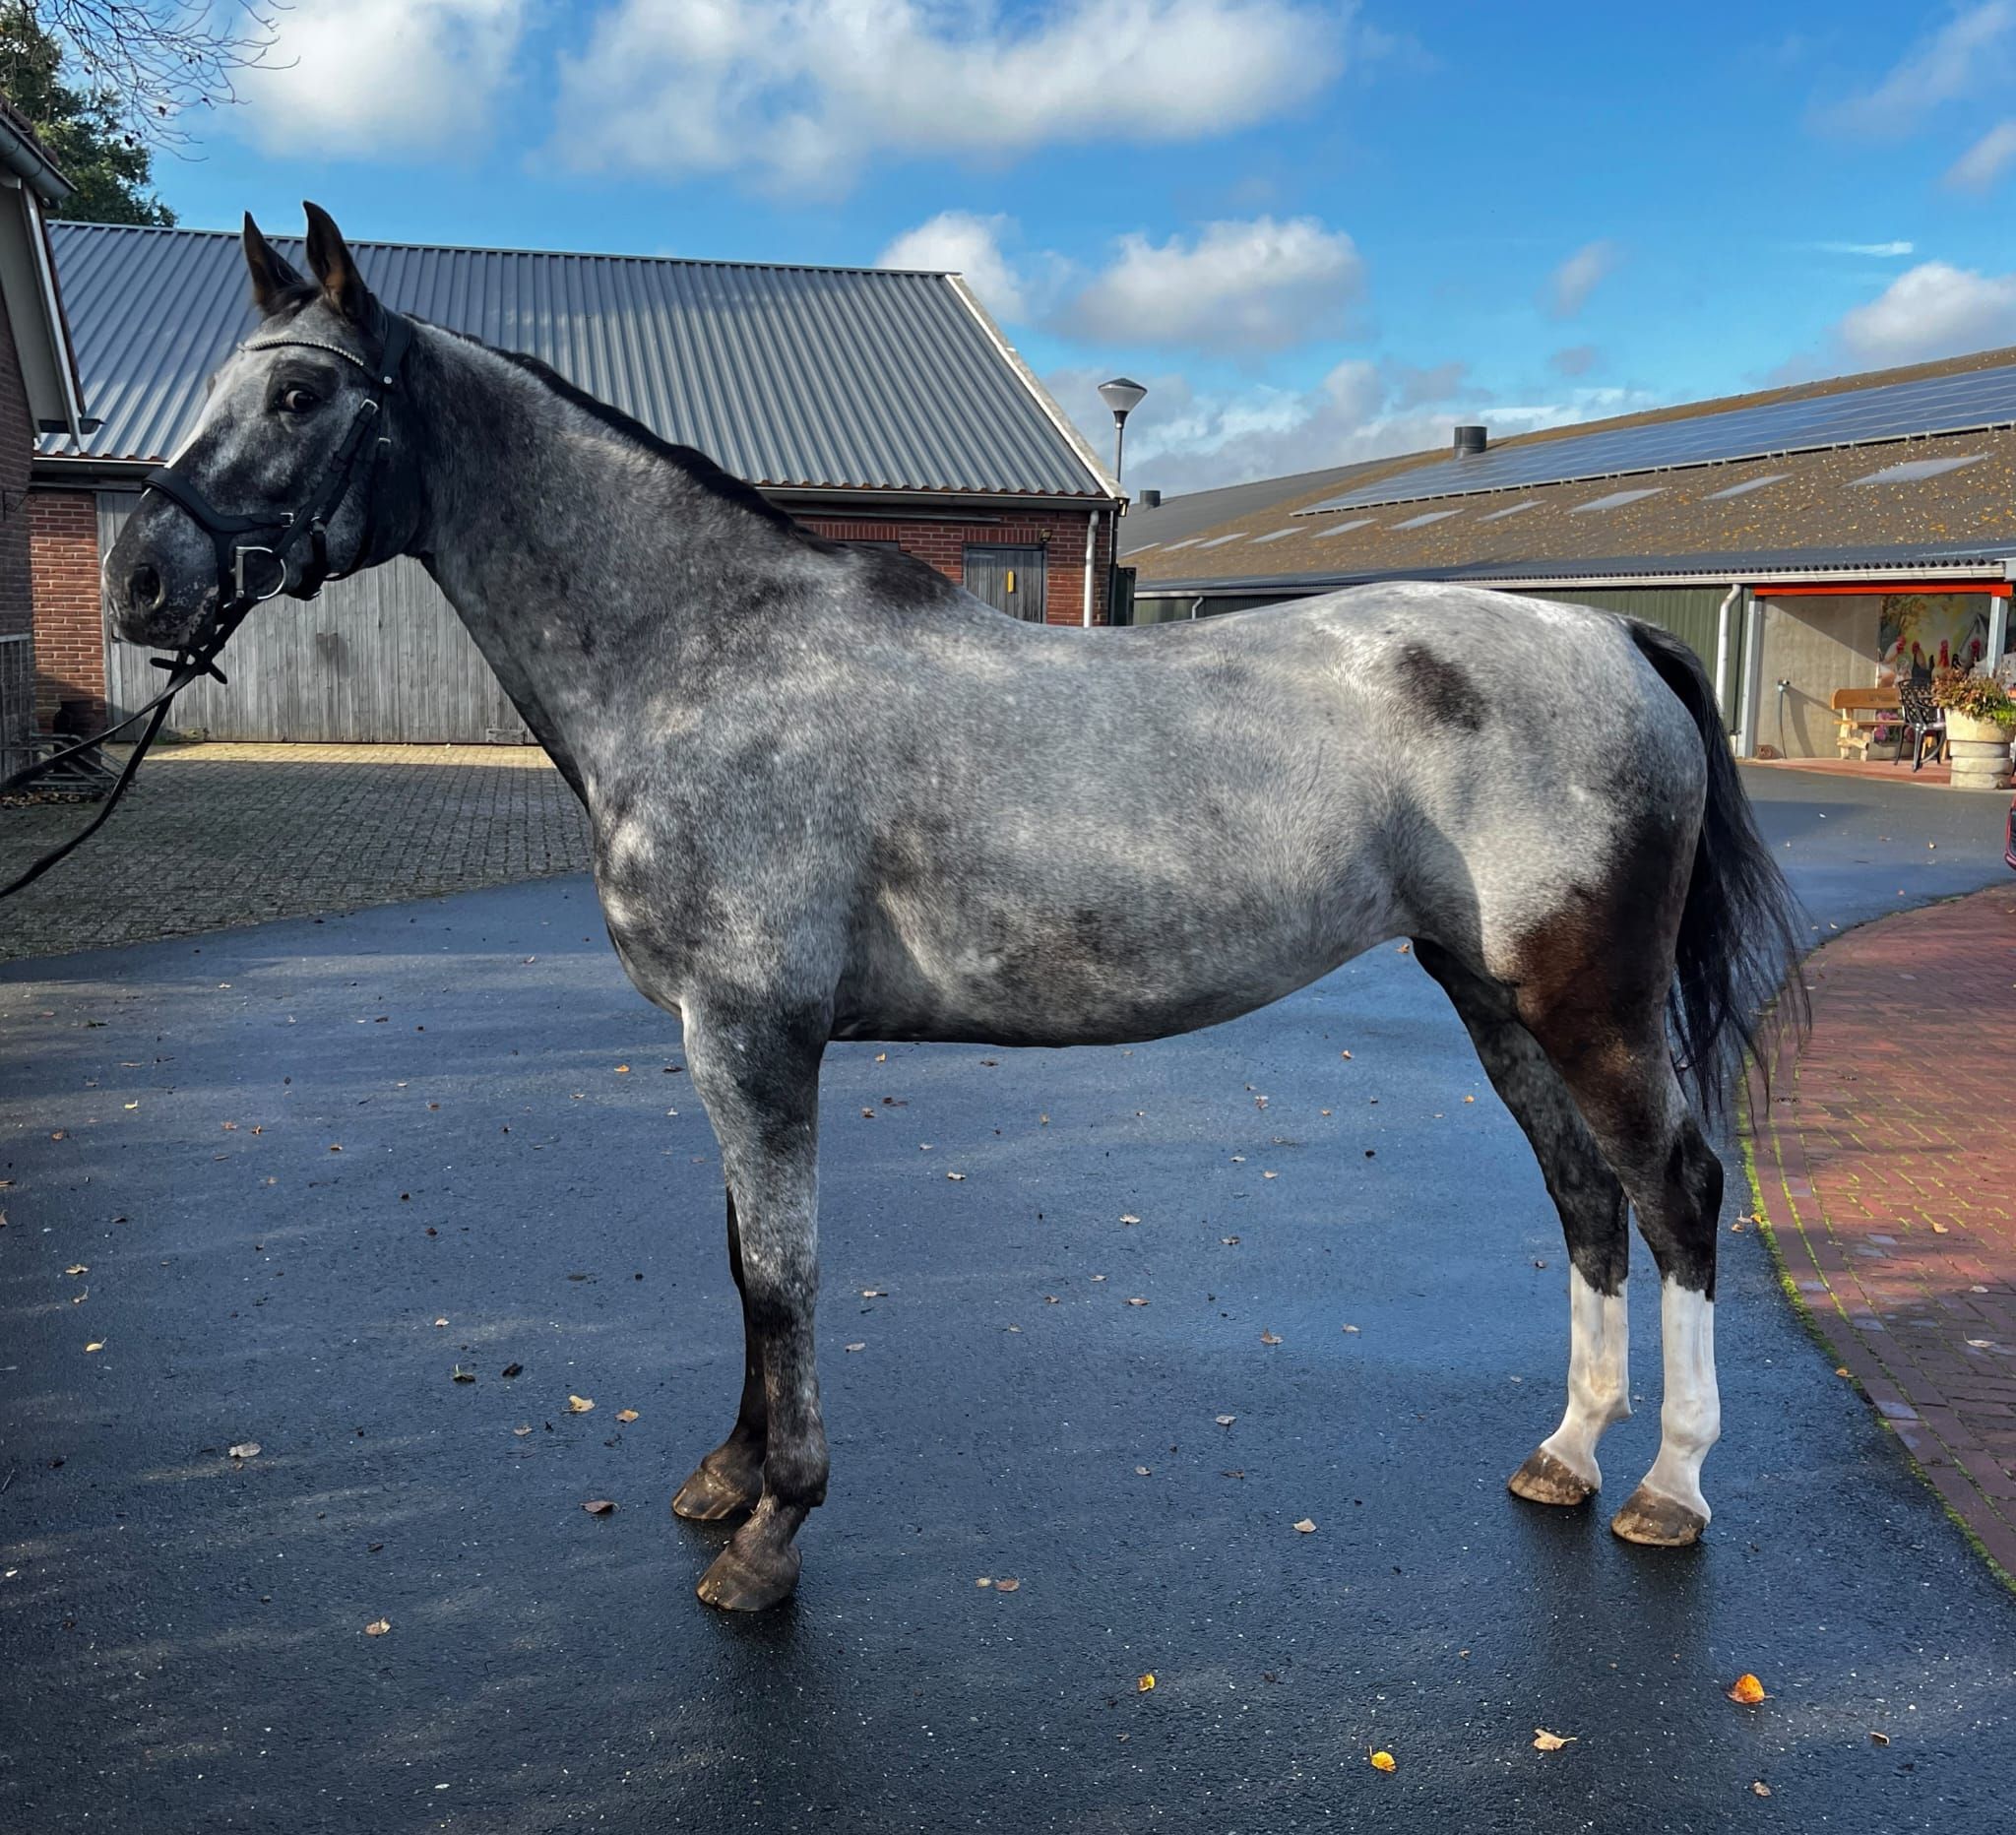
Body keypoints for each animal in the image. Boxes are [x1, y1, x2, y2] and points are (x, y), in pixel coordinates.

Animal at [102, 206, 1804, 1612]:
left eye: (300, 399)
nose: (139, 581)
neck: (708, 658)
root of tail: (1614, 641)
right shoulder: (726, 1042)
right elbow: (742, 1261)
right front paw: (725, 1480)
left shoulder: (755, 1035)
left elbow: (780, 1274)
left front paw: (772, 1533)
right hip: (1491, 993)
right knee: (1586, 1200)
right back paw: (1568, 1456)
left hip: (1587, 1005)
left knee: (1677, 1195)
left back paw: (1668, 1487)